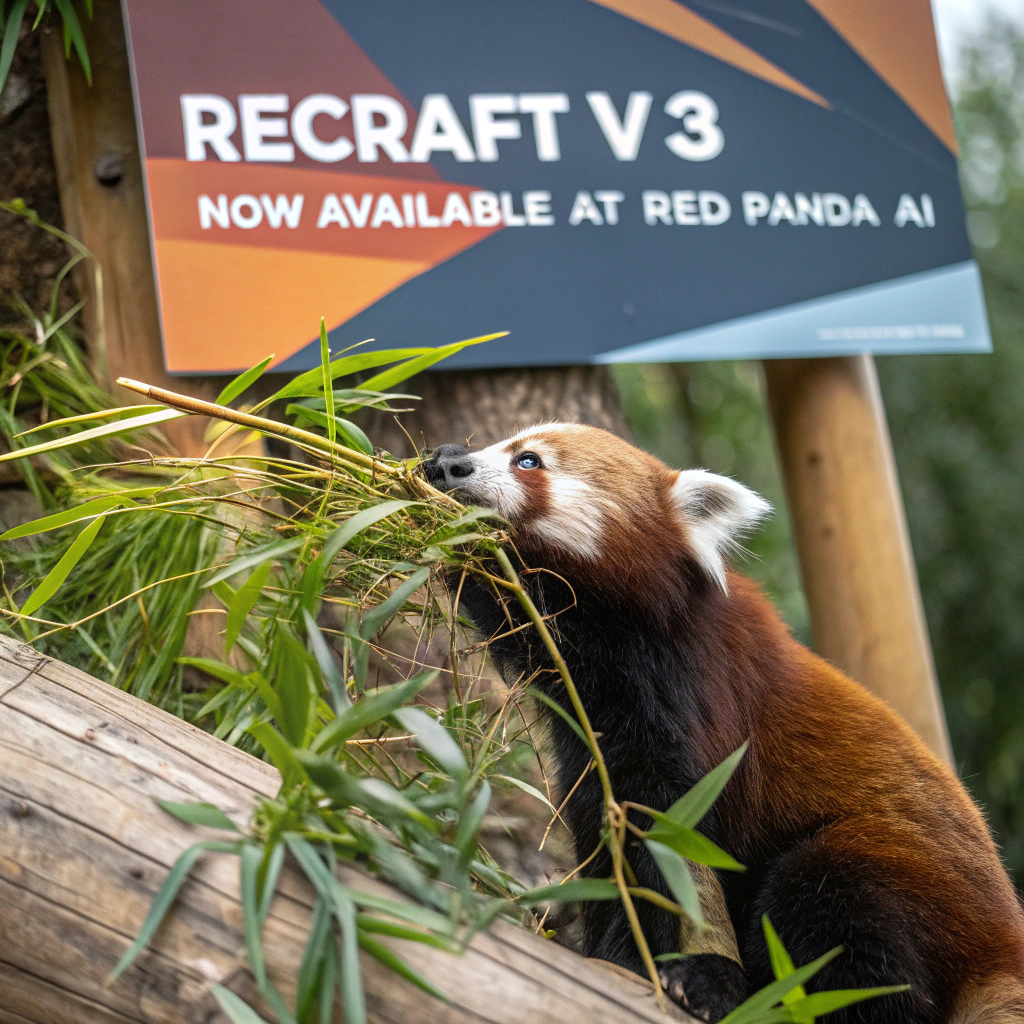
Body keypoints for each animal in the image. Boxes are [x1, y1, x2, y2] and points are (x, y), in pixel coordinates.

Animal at [424, 423, 1024, 1024]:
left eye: (528, 461)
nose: (448, 462)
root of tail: (1001, 946)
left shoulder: (689, 690)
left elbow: (672, 840)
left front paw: (695, 974)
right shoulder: (589, 735)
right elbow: (607, 841)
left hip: (896, 867)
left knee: (834, 912)